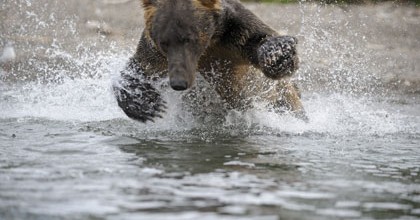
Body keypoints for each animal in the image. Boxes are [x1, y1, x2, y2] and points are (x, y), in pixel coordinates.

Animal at [113, 0, 306, 122]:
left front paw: (277, 53)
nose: (178, 82)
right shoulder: (155, 52)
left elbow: (262, 41)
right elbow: (139, 68)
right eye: (164, 42)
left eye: (189, 38)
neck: (208, 45)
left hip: (281, 100)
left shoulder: (234, 31)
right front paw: (147, 104)